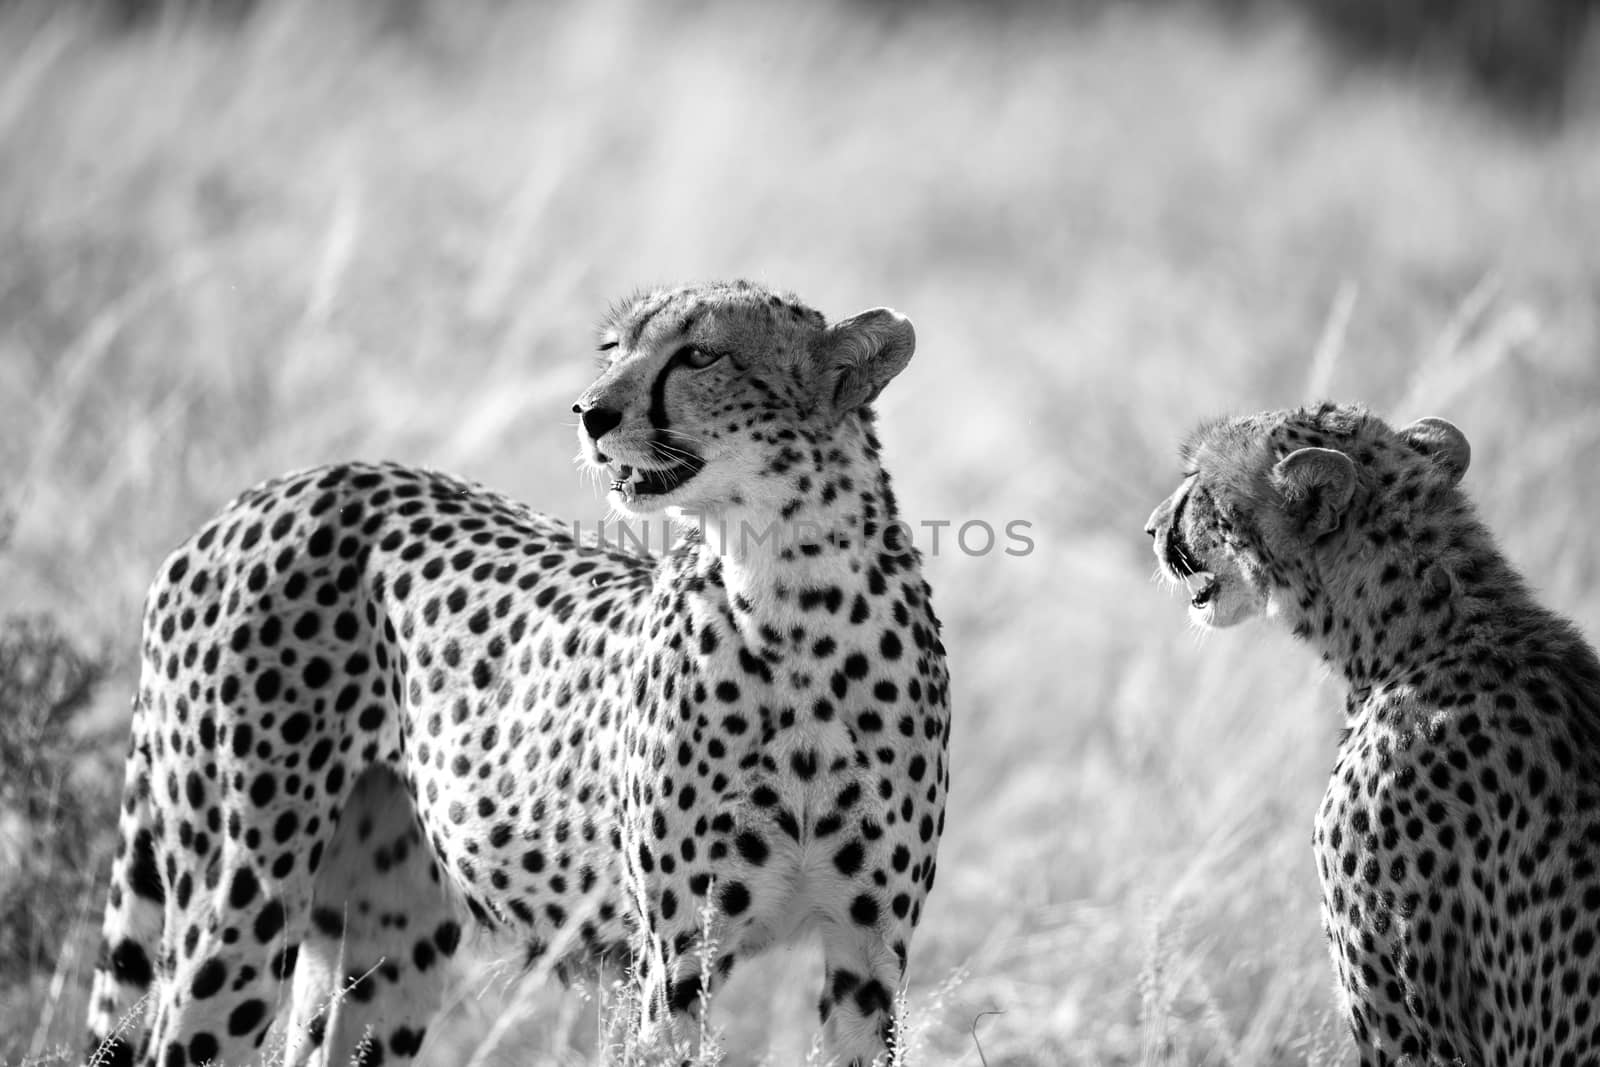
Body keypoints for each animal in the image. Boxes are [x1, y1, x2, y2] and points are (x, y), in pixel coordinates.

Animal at [84, 281, 947, 1067]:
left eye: (701, 354)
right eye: (614, 348)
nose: (590, 413)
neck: (796, 598)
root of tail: (265, 494)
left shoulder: (869, 952)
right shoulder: (677, 956)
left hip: (387, 932)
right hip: (242, 897)